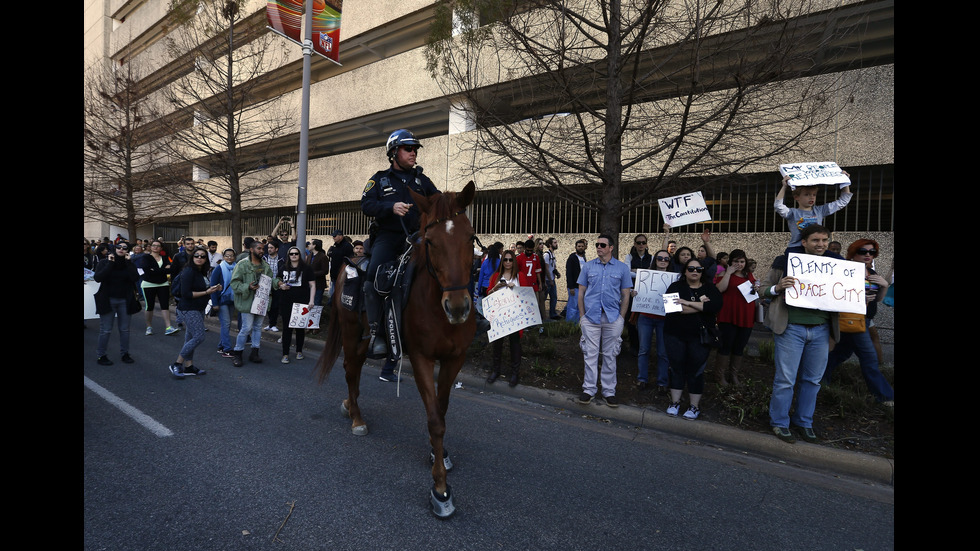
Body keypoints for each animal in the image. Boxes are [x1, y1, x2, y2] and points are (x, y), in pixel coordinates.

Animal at [314, 180, 478, 516]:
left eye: (470, 237)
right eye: (430, 241)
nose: (458, 308)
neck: (435, 303)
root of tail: (349, 264)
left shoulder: (454, 359)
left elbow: (441, 410)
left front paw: (438, 454)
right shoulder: (421, 359)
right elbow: (435, 420)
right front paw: (440, 490)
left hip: (366, 338)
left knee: (356, 370)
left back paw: (350, 405)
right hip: (351, 331)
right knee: (350, 369)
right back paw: (357, 418)